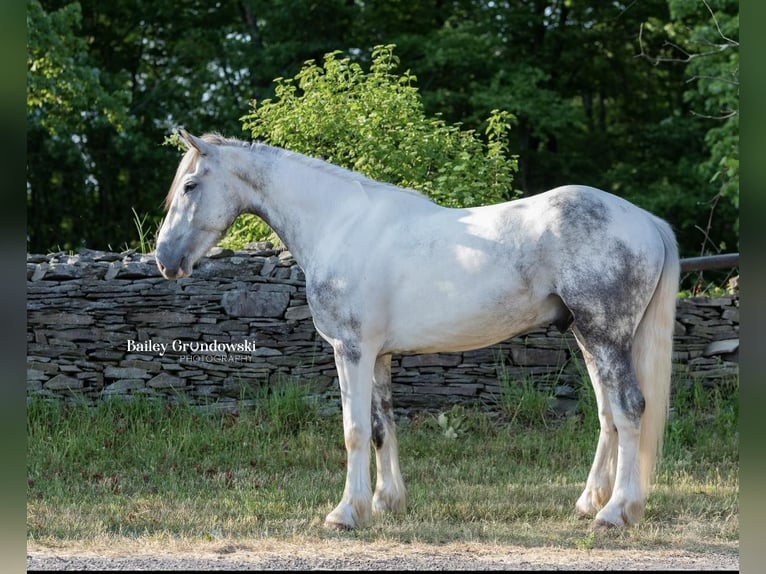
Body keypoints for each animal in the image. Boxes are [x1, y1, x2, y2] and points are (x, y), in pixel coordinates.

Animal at [154, 128, 680, 532]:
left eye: (191, 186)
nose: (164, 259)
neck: (339, 225)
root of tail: (645, 221)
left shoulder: (351, 350)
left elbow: (353, 429)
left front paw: (346, 513)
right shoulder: (378, 355)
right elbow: (382, 426)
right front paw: (386, 503)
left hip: (606, 337)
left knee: (629, 409)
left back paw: (616, 512)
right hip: (587, 339)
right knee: (608, 415)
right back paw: (589, 502)